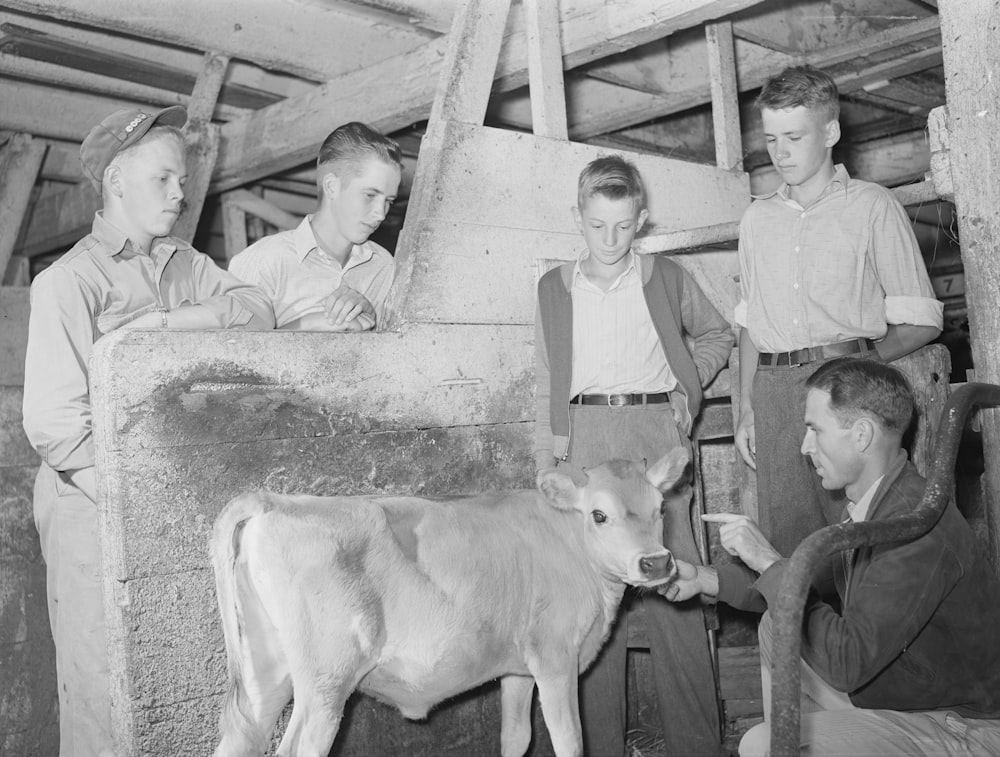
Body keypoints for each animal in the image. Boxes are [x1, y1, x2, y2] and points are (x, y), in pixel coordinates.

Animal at [211, 446, 692, 752]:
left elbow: (516, 738)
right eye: (599, 514)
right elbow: (570, 740)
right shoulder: (555, 658)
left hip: (267, 673)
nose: (656, 562)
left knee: (240, 738)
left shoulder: (517, 666)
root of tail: (275, 501)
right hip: (326, 681)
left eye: (660, 508)